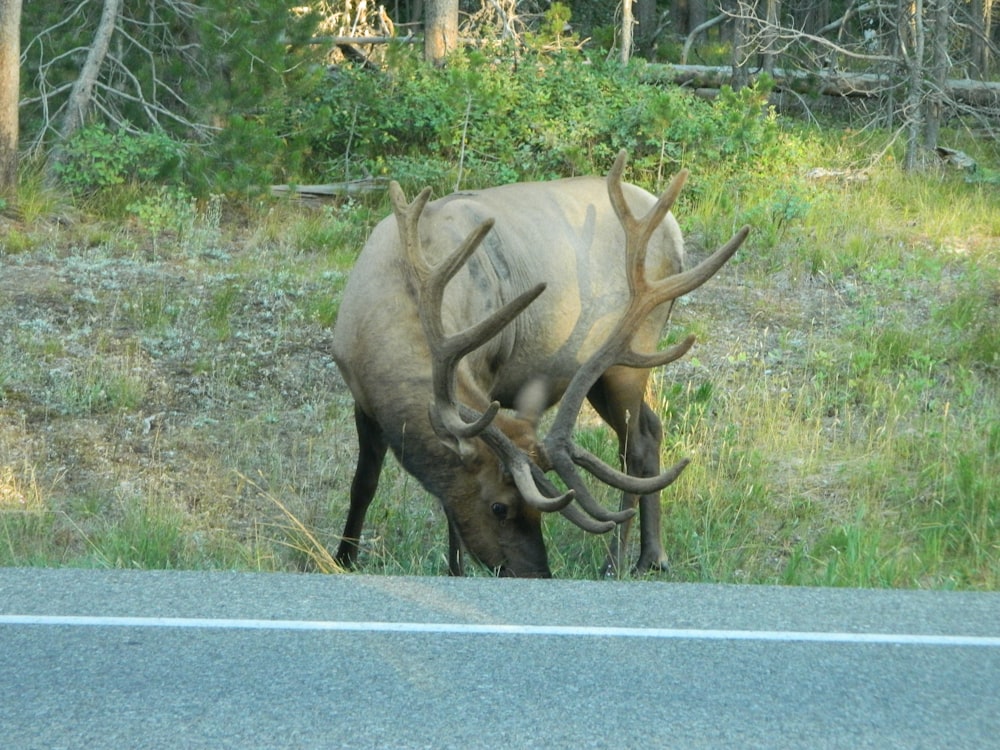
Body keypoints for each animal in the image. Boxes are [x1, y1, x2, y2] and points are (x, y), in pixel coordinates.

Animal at [332, 150, 748, 580]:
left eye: (538, 510)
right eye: (500, 506)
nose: (538, 573)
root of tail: (674, 230)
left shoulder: (485, 369)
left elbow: (447, 508)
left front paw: (453, 570)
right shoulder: (360, 396)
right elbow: (364, 483)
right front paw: (343, 556)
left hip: (633, 352)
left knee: (635, 445)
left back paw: (618, 561)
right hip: (599, 374)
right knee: (651, 428)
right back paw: (653, 555)